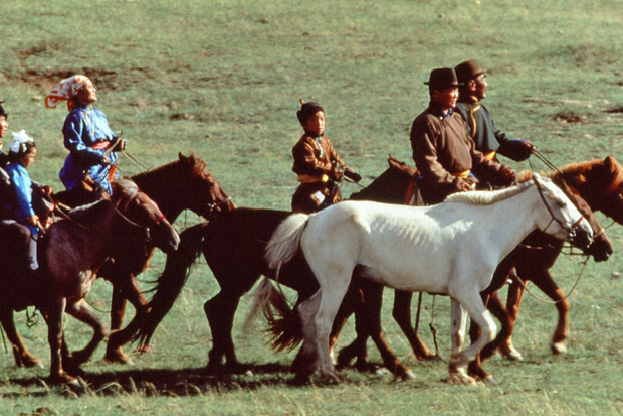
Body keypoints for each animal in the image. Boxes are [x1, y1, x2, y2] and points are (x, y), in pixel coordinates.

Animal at [264, 174, 596, 386]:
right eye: (561, 202)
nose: (588, 236)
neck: (484, 228)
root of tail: (312, 219)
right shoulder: (469, 292)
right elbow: (488, 329)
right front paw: (461, 364)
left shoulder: (459, 296)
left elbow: (459, 332)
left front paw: (458, 373)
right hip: (339, 283)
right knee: (323, 321)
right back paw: (329, 373)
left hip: (332, 284)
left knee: (307, 313)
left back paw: (307, 368)